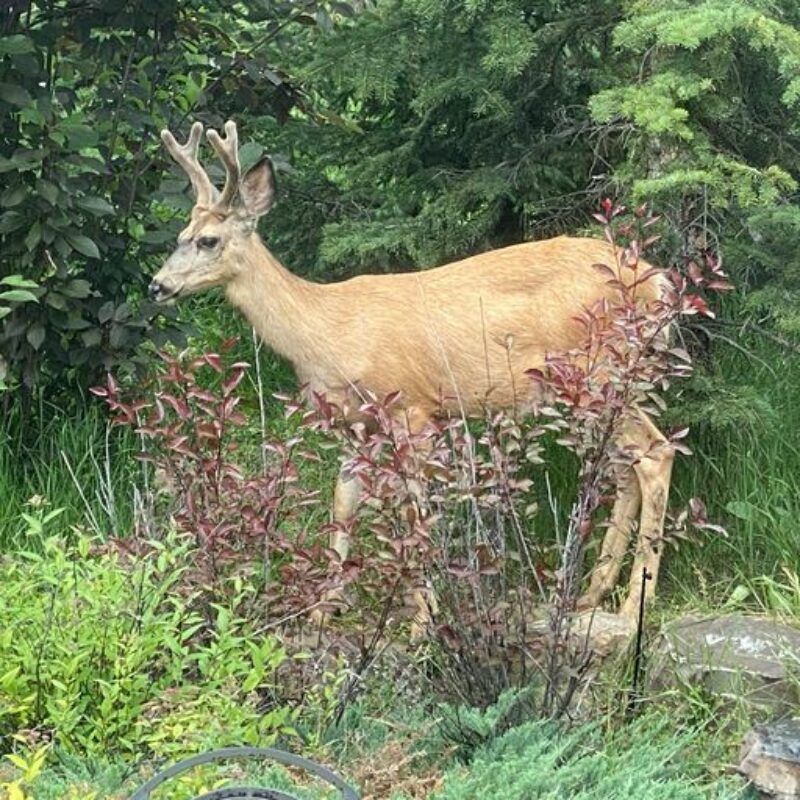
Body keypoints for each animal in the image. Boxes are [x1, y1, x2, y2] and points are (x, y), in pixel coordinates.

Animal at [150, 120, 676, 632]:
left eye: (208, 240)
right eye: (179, 234)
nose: (158, 285)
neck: (329, 331)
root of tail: (658, 282)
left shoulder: (412, 408)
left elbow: (413, 508)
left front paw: (423, 621)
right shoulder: (355, 423)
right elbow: (343, 505)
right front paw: (322, 611)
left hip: (599, 367)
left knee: (655, 452)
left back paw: (634, 605)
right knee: (624, 467)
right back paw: (590, 595)